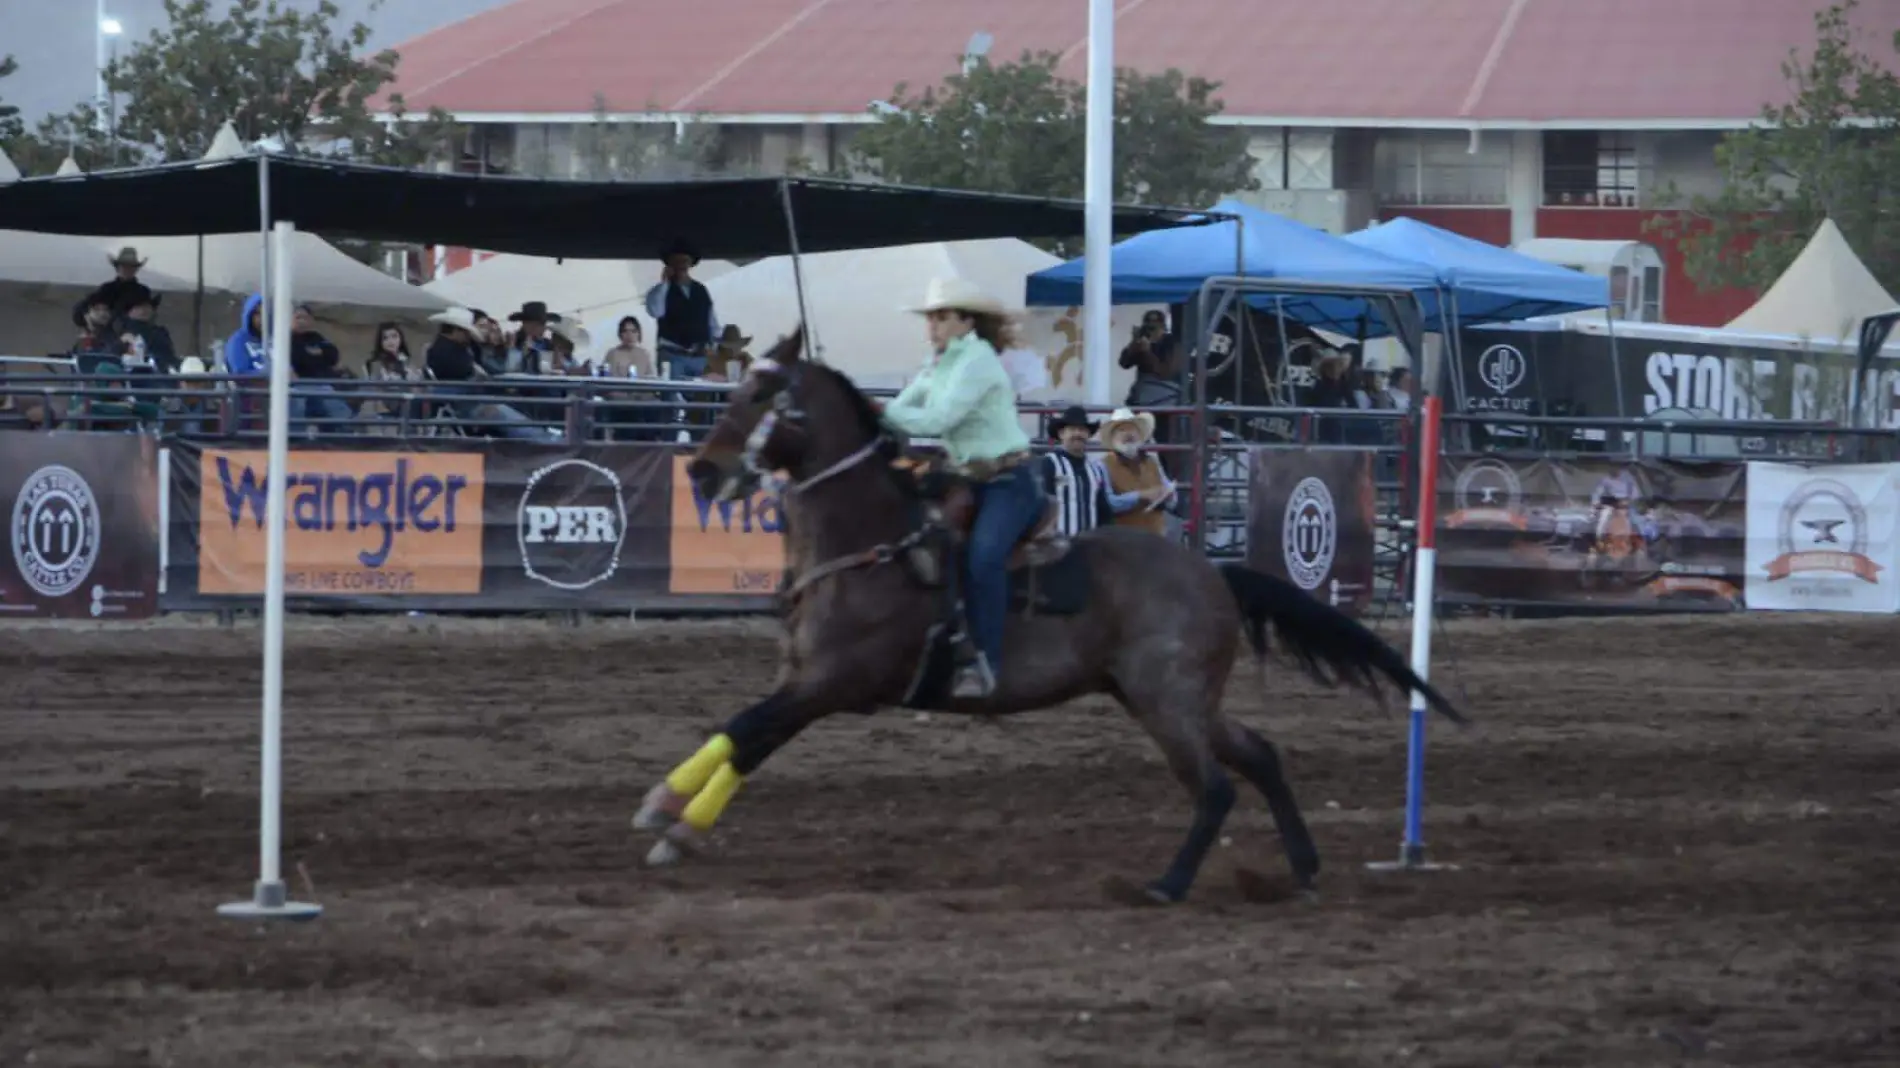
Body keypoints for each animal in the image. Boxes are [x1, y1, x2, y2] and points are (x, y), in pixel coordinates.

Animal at [638, 328, 1466, 900]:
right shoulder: (808, 678)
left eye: (758, 399)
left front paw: (673, 821)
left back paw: (1166, 886)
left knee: (1216, 787)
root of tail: (1215, 572)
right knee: (1259, 755)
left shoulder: (834, 683)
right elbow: (741, 731)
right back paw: (1301, 868)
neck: (872, 543)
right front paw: (666, 809)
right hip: (1168, 696)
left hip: (1166, 701)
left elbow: (750, 732)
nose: (703, 471)